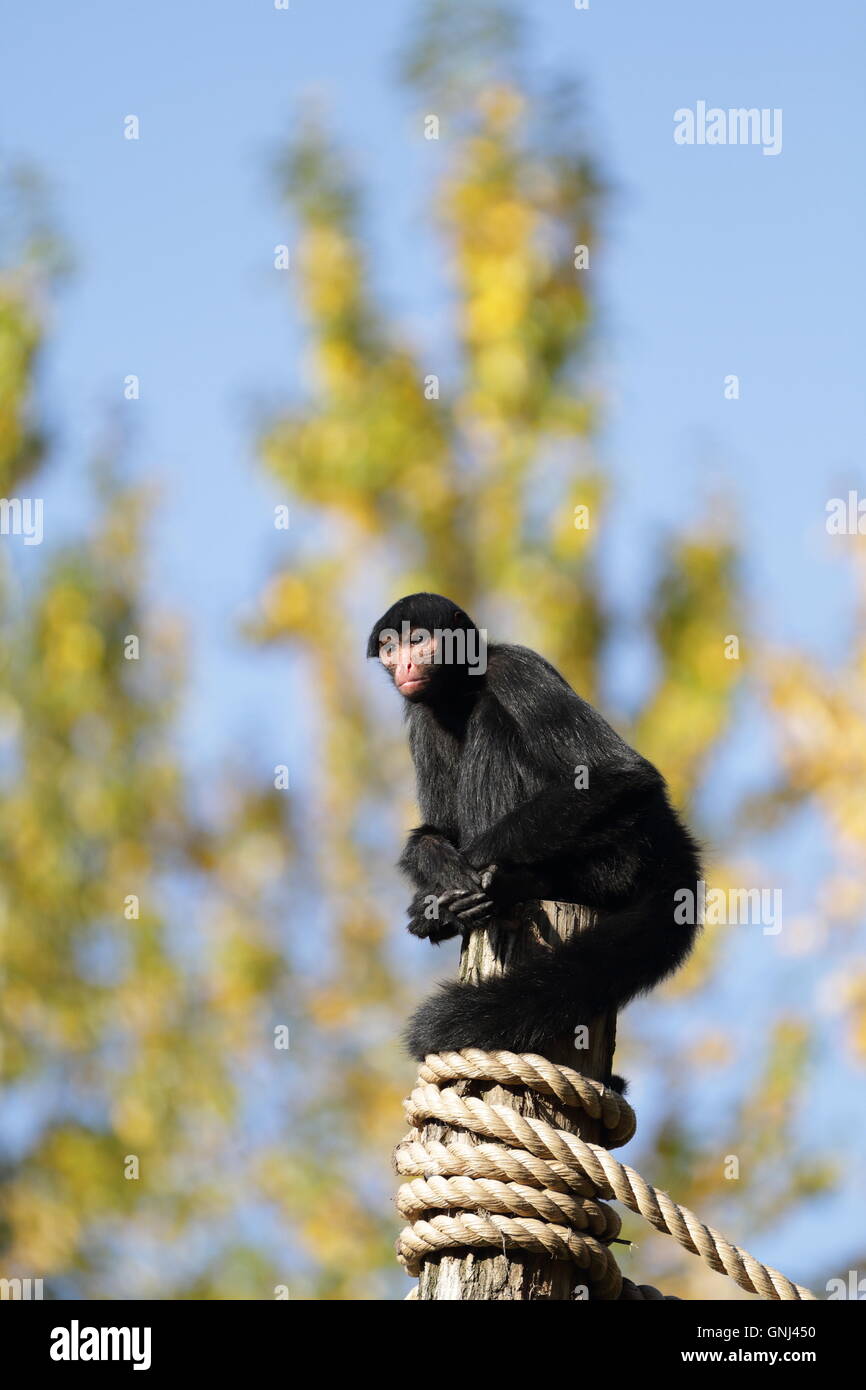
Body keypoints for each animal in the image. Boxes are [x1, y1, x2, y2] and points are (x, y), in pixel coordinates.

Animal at [367, 592, 702, 1064]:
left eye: (417, 641)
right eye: (389, 649)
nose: (405, 664)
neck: (462, 689)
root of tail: (669, 836)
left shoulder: (516, 668)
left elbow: (620, 774)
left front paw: (458, 879)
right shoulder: (420, 712)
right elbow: (436, 829)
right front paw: (436, 875)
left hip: (613, 857)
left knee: (491, 718)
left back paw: (512, 884)